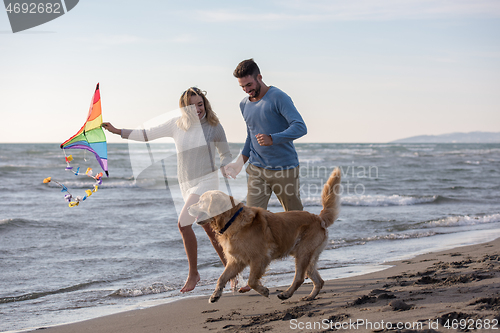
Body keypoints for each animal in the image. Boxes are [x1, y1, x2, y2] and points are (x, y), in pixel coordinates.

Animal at [189, 167, 342, 302]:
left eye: (201, 201)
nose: (189, 207)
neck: (232, 221)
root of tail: (318, 218)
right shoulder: (236, 261)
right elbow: (221, 277)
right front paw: (215, 295)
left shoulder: (259, 258)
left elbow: (251, 281)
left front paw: (263, 291)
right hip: (308, 256)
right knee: (319, 280)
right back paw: (310, 297)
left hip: (303, 253)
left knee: (299, 278)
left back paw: (286, 294)